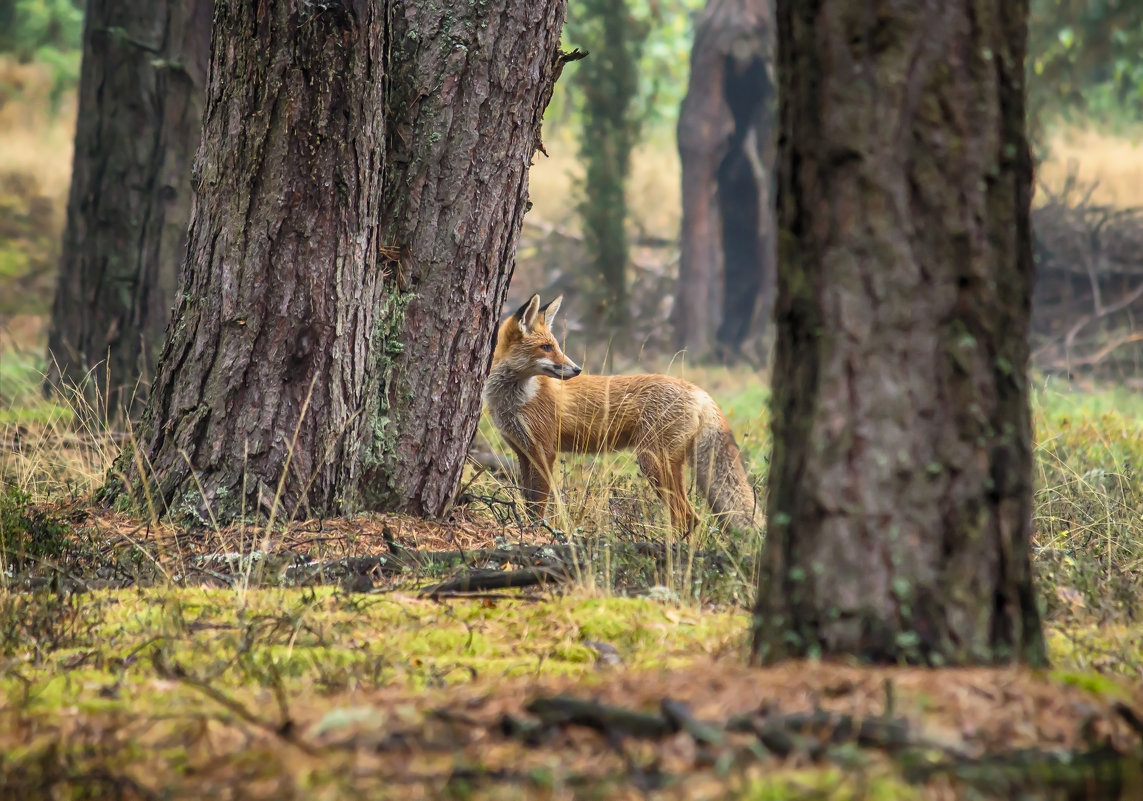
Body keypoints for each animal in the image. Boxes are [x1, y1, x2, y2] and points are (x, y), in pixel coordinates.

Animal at [482, 294, 758, 537]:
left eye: (556, 347)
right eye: (546, 347)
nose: (577, 369)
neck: (514, 401)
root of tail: (700, 391)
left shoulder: (544, 451)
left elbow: (538, 506)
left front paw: (535, 533)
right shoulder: (523, 452)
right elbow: (528, 501)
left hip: (653, 463)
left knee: (687, 517)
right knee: (689, 517)